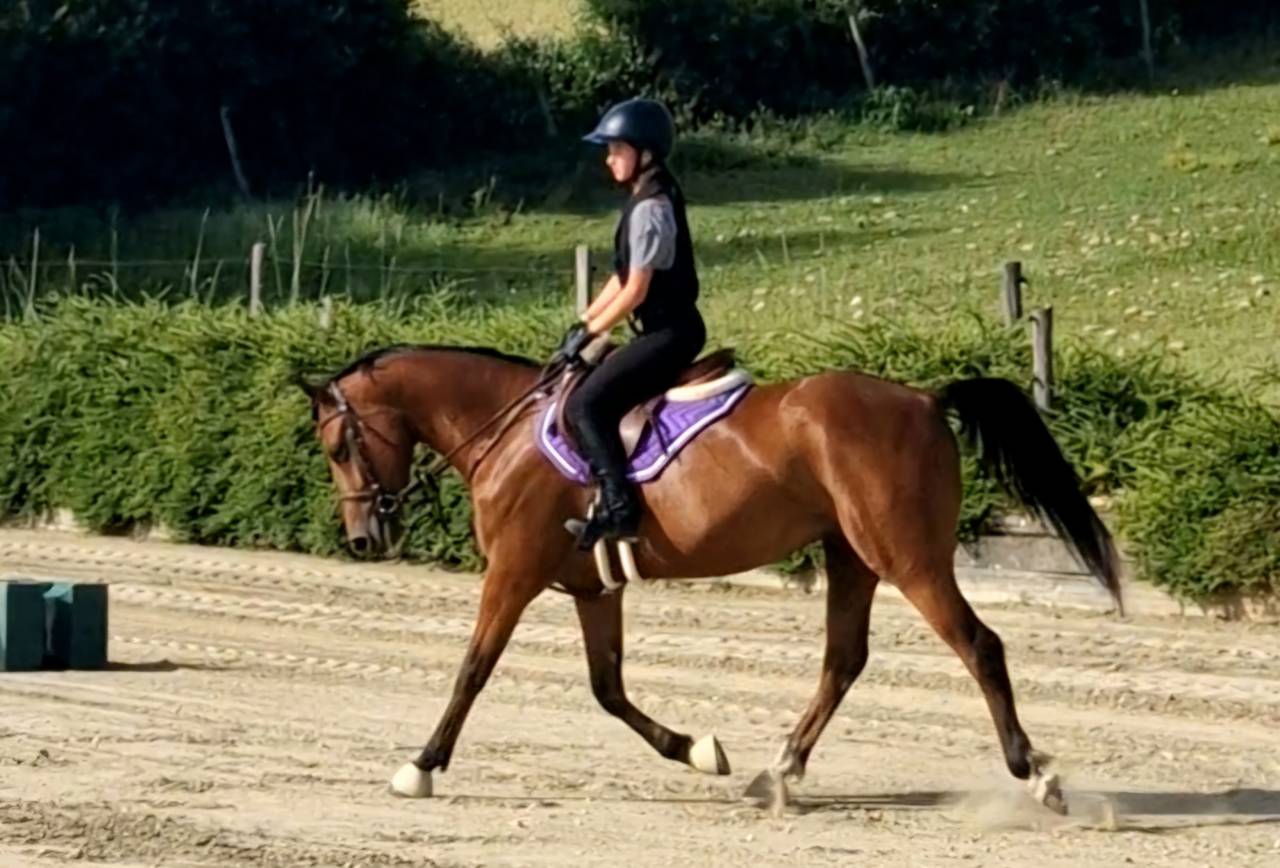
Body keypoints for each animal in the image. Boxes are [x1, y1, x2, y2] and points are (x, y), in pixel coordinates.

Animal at [297, 342, 1122, 814]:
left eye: (337, 446)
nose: (364, 538)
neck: (507, 427)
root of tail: (923, 395)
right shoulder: (593, 588)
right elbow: (608, 689)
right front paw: (698, 749)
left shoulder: (513, 572)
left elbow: (473, 669)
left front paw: (420, 766)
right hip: (851, 556)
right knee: (843, 660)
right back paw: (779, 773)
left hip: (907, 557)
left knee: (979, 646)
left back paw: (1037, 774)